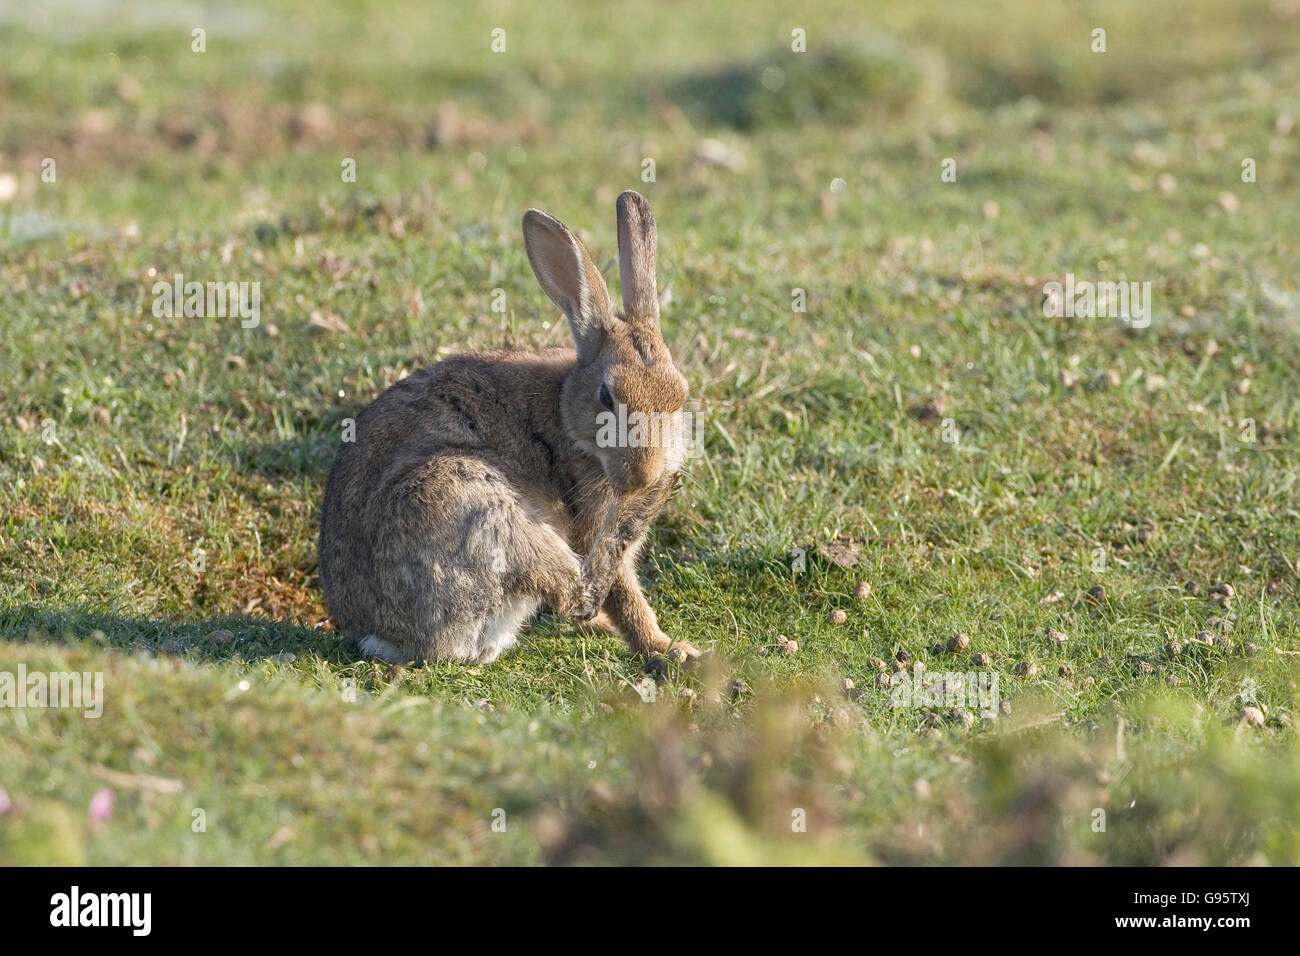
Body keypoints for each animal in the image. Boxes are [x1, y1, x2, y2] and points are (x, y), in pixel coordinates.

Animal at [318, 190, 701, 666]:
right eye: (606, 396)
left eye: (680, 395)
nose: (642, 475)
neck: (565, 413)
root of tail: (380, 635)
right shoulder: (589, 521)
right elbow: (623, 594)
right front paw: (668, 648)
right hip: (469, 502)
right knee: (578, 592)